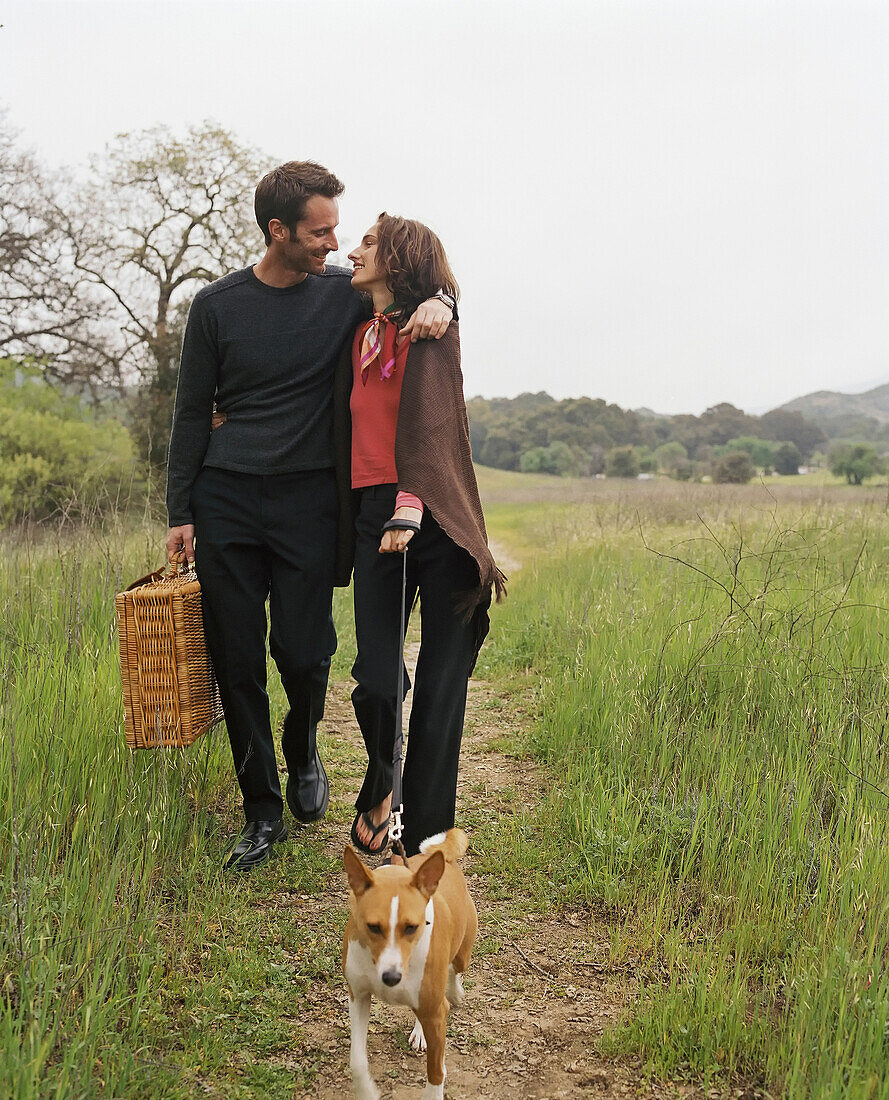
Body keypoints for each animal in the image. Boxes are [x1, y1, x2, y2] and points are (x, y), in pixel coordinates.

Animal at [341, 827, 479, 1095]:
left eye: (411, 927)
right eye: (372, 927)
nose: (391, 978)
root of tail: (444, 858)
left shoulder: (436, 1013)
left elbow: (436, 1071)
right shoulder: (358, 996)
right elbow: (356, 1062)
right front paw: (368, 1092)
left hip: (461, 955)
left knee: (455, 970)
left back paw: (454, 992)